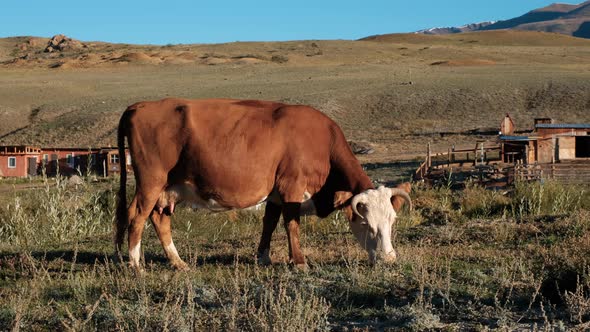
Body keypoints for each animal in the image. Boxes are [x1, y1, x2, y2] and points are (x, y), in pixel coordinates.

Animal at [115, 98, 412, 270]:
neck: (320, 142)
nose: (389, 258)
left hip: (168, 189)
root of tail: (138, 106)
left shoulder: (275, 194)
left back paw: (178, 263)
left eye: (392, 221)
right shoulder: (291, 188)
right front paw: (299, 262)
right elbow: (291, 224)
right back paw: (135, 265)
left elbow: (269, 223)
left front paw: (263, 257)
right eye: (365, 223)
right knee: (137, 216)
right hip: (151, 181)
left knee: (159, 219)